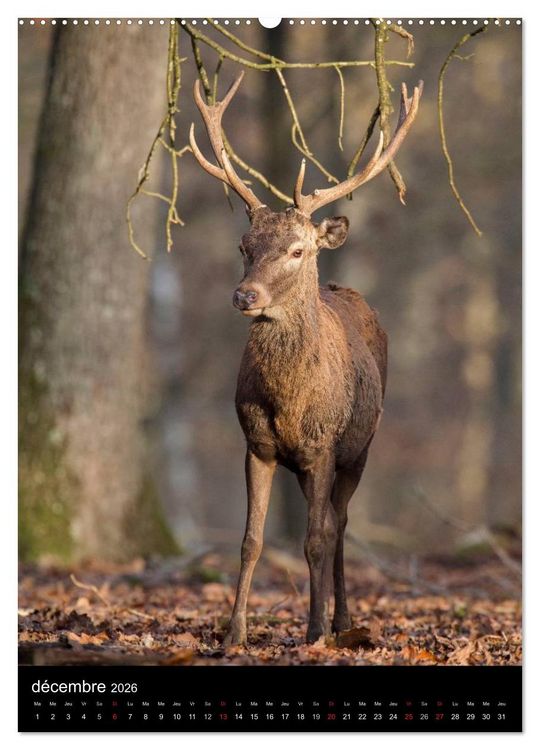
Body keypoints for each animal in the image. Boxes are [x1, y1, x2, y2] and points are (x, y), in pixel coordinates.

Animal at [189, 71, 423, 645]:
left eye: (298, 250)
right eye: (244, 245)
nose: (244, 295)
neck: (290, 401)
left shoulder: (323, 445)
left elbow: (316, 538)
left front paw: (314, 630)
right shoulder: (258, 445)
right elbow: (250, 540)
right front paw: (234, 634)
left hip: (361, 446)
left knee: (339, 524)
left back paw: (341, 621)